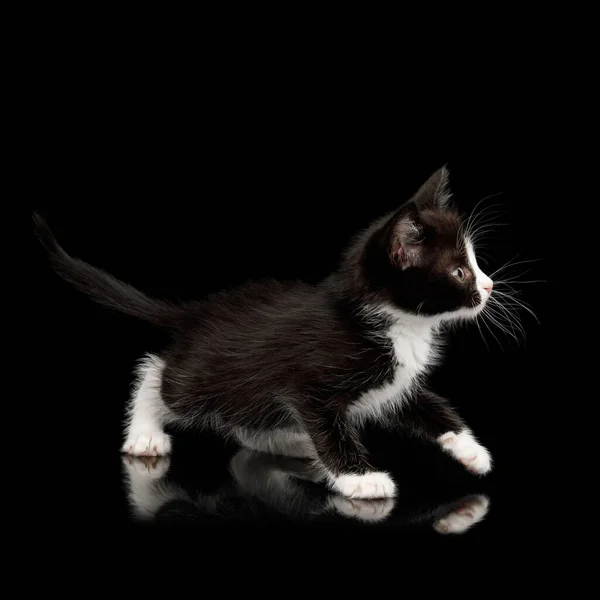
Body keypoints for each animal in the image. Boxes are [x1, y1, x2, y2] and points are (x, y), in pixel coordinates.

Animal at [36, 165, 496, 502]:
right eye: (459, 272)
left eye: (475, 263)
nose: (490, 286)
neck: (399, 326)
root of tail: (199, 311)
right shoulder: (310, 386)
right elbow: (330, 430)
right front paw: (360, 479)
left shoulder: (396, 383)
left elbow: (433, 409)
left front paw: (471, 451)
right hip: (209, 380)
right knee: (158, 373)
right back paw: (145, 434)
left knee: (244, 423)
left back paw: (293, 442)